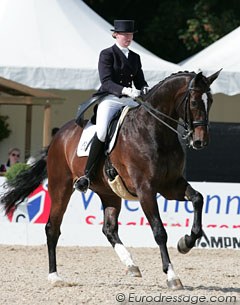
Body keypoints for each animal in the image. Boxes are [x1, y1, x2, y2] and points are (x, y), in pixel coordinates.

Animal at [0, 70, 221, 288]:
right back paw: (54, 276)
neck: (155, 131)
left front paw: (186, 242)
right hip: (60, 187)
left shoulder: (171, 185)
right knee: (52, 228)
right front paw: (172, 276)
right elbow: (159, 231)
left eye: (210, 101)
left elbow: (198, 198)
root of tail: (58, 137)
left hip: (109, 193)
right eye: (194, 102)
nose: (200, 141)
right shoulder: (146, 190)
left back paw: (131, 264)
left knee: (109, 229)